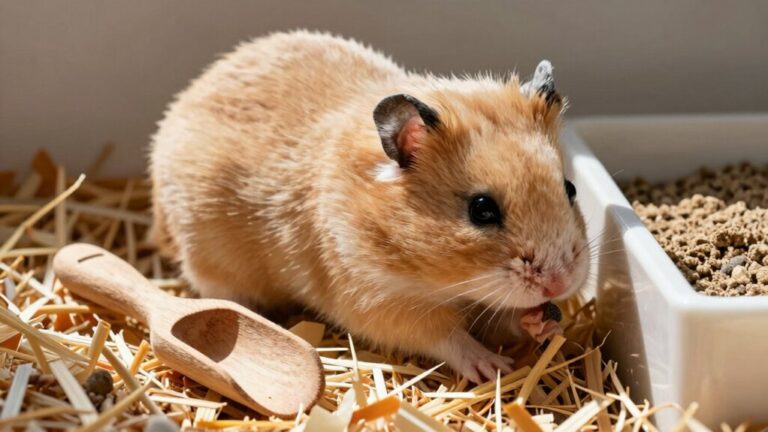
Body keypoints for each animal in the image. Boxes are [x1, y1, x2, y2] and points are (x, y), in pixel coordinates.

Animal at [150, 30, 589, 383]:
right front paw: (493, 368)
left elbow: (507, 317)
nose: (562, 283)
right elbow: (446, 336)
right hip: (211, 265)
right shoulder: (377, 301)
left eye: (570, 188)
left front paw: (544, 323)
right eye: (481, 210)